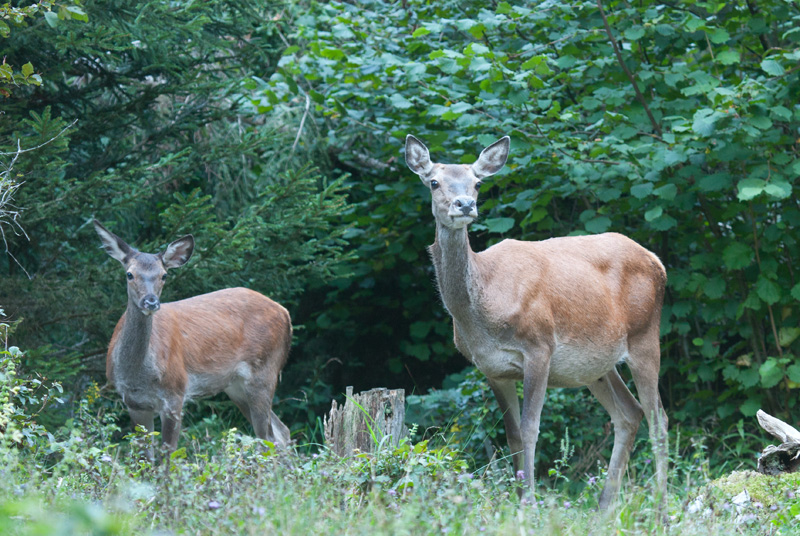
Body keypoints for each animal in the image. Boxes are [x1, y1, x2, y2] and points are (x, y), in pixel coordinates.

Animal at [94, 220, 292, 454]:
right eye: (129, 274)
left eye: (164, 275)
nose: (150, 302)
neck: (138, 375)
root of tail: (285, 313)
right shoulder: (134, 403)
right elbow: (144, 456)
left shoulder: (175, 394)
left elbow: (167, 454)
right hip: (236, 386)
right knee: (281, 431)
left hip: (264, 370)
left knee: (268, 438)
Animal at [406, 136, 668, 508]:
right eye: (433, 181)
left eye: (477, 182)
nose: (465, 204)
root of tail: (657, 261)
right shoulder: (492, 369)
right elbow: (513, 435)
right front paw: (519, 499)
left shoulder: (539, 347)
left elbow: (531, 429)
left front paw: (528, 505)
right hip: (597, 365)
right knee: (629, 413)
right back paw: (605, 507)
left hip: (646, 335)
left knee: (658, 418)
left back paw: (660, 506)